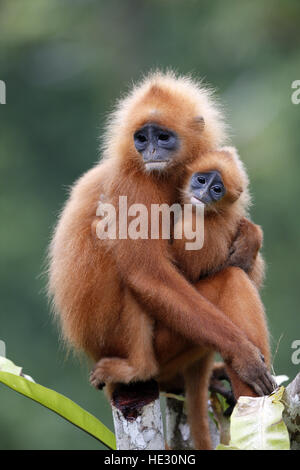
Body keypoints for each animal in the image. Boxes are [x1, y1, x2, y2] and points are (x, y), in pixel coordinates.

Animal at [48, 73, 276, 434]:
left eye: (163, 137)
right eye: (142, 139)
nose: (151, 149)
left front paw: (250, 235)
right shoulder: (134, 184)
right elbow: (147, 274)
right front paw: (242, 354)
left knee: (241, 272)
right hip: (147, 342)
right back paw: (140, 368)